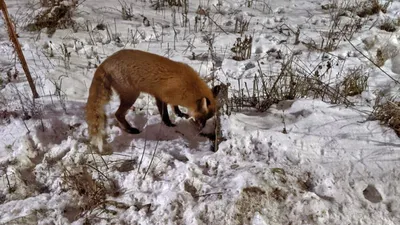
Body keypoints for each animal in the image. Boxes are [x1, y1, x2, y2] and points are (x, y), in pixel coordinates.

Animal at [85, 49, 222, 153]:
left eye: (208, 118)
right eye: (201, 118)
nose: (201, 129)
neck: (187, 85)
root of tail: (105, 62)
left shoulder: (168, 97)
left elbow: (175, 107)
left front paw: (180, 114)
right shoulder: (162, 96)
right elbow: (164, 113)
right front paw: (169, 124)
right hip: (131, 96)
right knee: (118, 114)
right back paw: (130, 130)